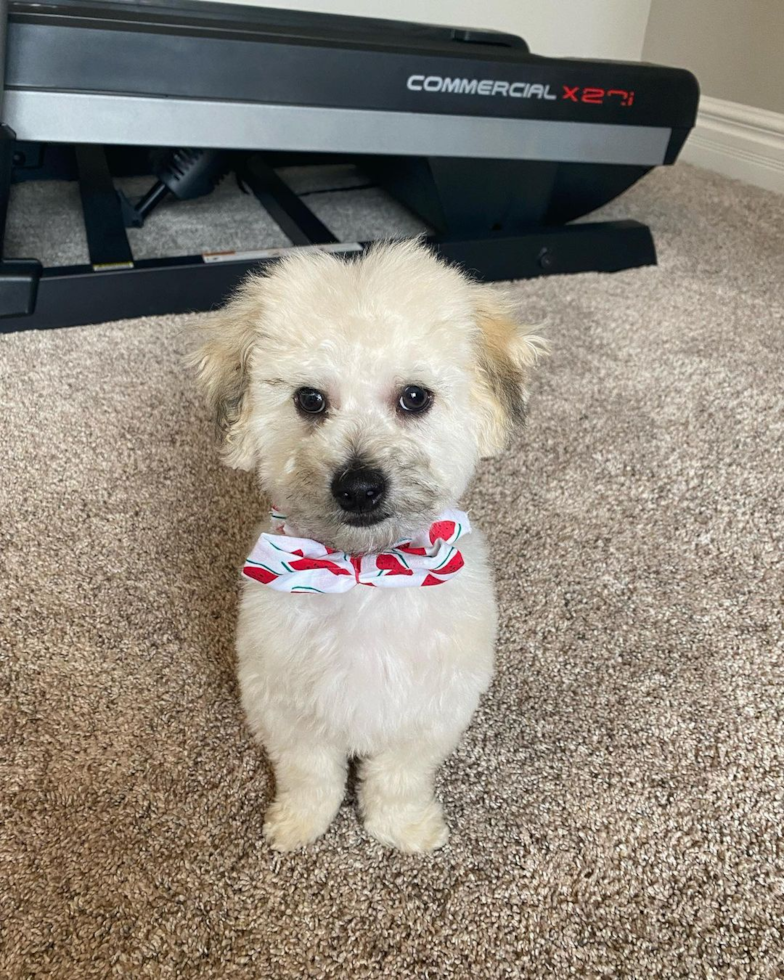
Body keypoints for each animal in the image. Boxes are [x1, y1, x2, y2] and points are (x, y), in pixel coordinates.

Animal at [191, 241, 544, 852]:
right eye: (309, 399)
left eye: (414, 397)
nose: (358, 487)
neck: (367, 572)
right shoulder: (283, 706)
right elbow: (309, 773)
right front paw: (299, 824)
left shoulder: (431, 710)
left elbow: (399, 775)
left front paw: (401, 827)